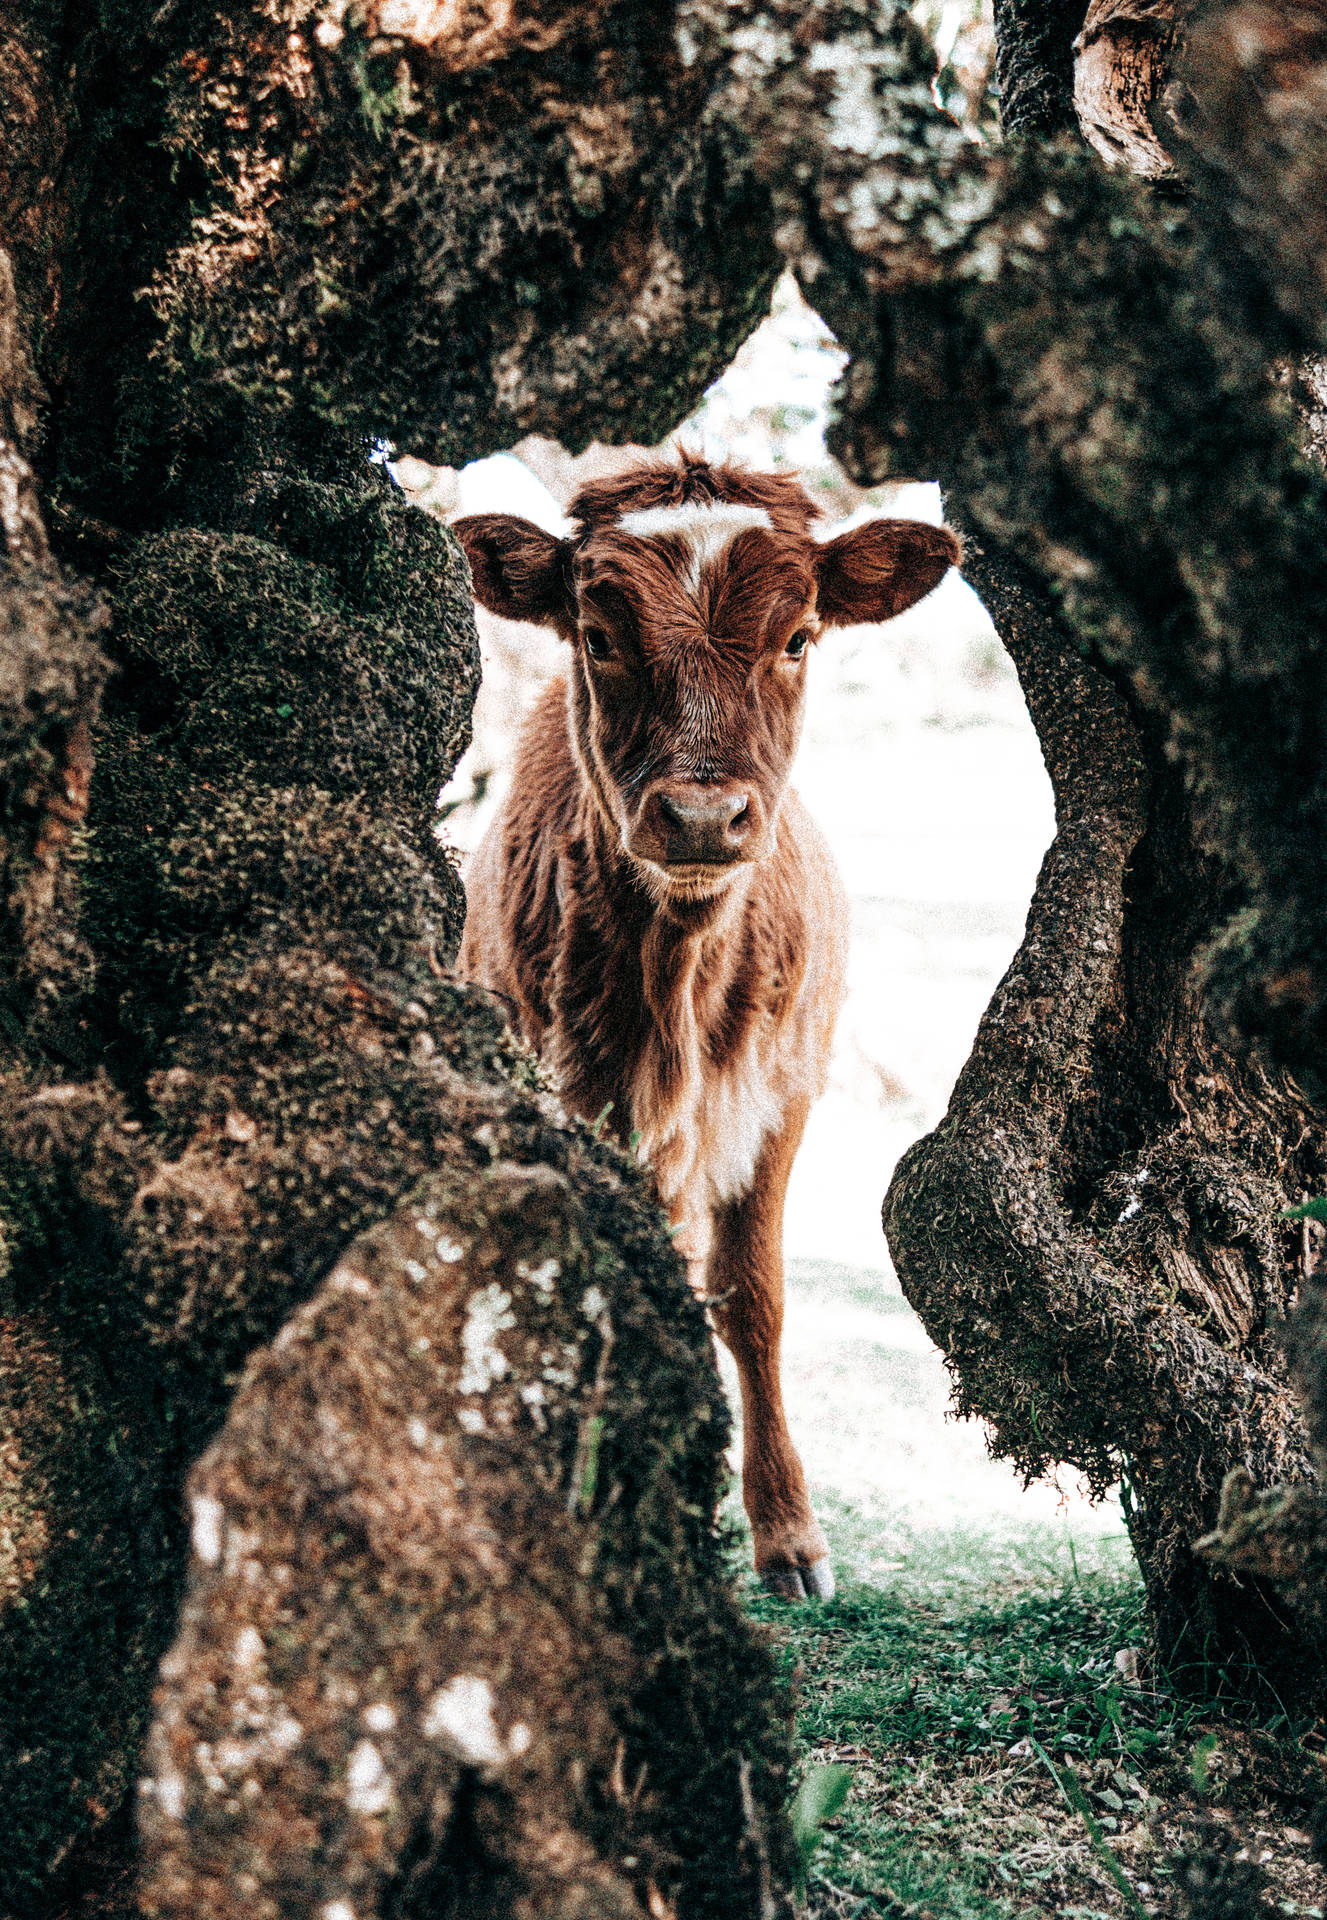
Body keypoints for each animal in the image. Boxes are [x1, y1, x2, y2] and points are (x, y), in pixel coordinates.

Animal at [455, 456, 956, 1597]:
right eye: (598, 634)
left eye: (799, 636)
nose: (697, 817)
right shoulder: (576, 1100)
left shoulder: (783, 1096)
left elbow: (751, 1296)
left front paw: (786, 1534)